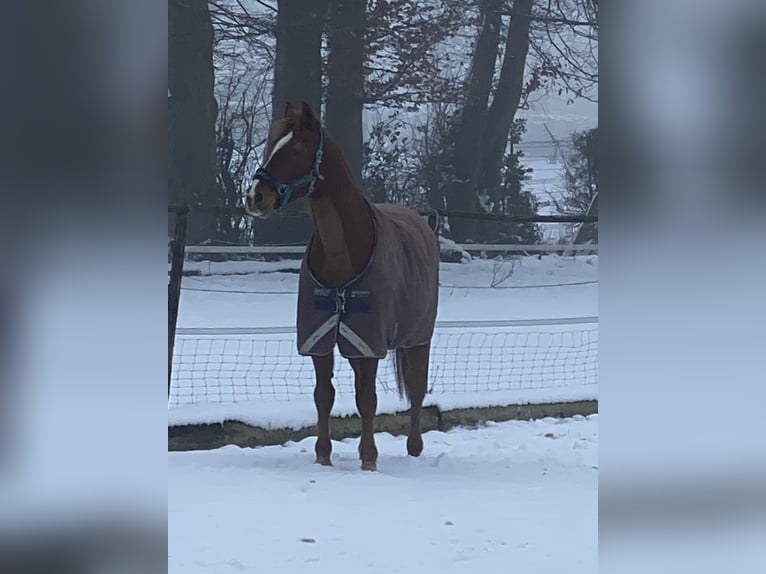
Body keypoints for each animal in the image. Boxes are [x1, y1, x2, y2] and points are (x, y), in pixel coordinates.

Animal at [243, 101, 440, 471]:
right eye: (272, 144)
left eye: (297, 149)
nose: (254, 197)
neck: (341, 254)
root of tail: (425, 223)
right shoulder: (321, 336)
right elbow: (325, 395)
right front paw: (323, 455)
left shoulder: (368, 340)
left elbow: (368, 397)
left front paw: (369, 459)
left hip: (418, 336)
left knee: (417, 387)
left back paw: (415, 446)